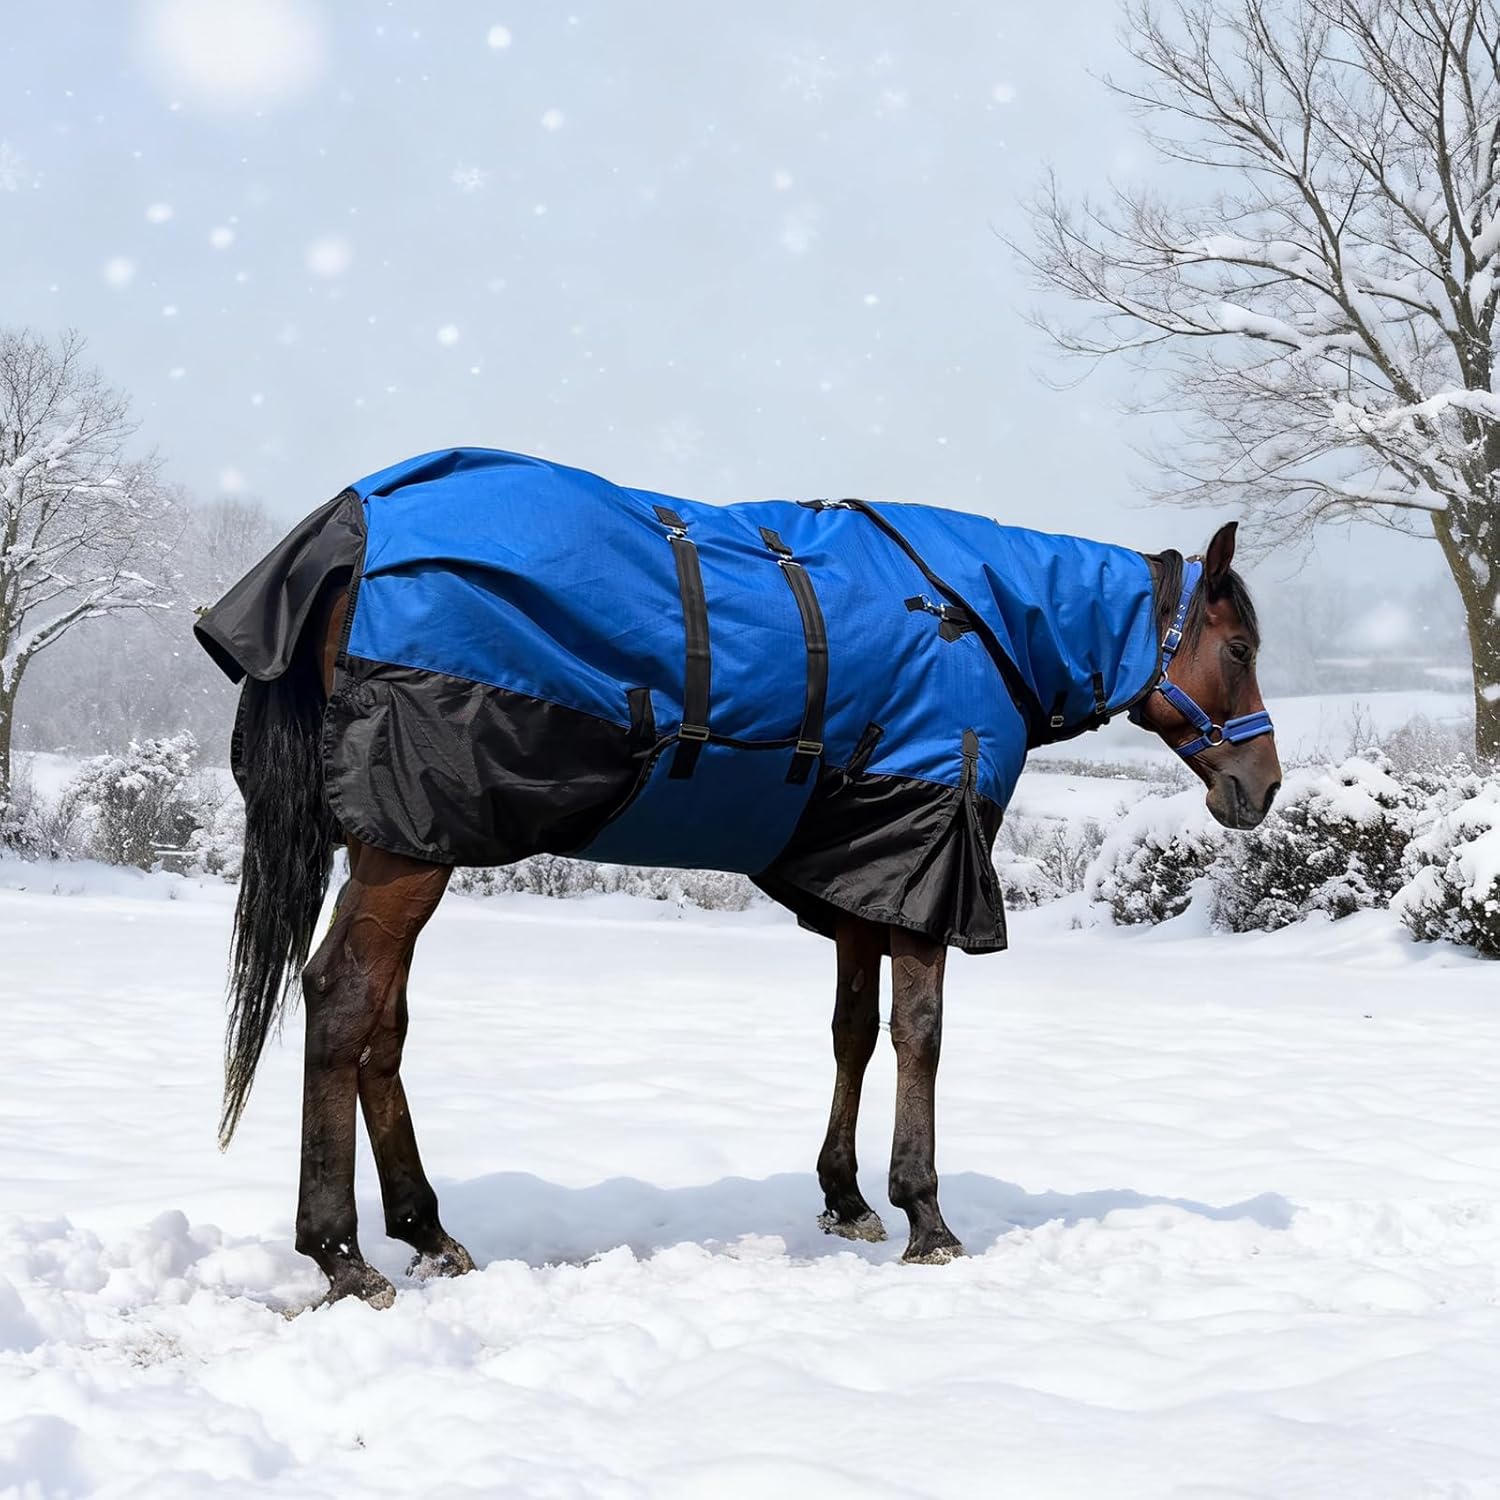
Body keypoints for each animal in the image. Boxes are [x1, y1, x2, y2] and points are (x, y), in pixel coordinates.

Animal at [196, 448, 1281, 1307]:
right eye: (1237, 648)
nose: (1260, 788)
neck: (976, 619)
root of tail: (352, 521)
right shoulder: (927, 855)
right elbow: (919, 1037)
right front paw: (926, 1216)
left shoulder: (864, 866)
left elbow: (852, 1032)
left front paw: (846, 1198)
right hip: (408, 851)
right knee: (342, 1000)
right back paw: (341, 1255)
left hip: (406, 844)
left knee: (381, 1026)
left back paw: (427, 1232)